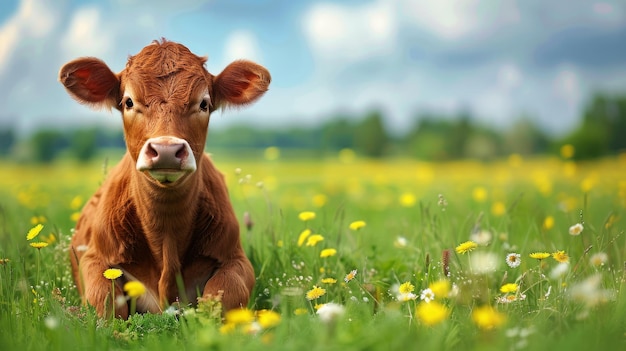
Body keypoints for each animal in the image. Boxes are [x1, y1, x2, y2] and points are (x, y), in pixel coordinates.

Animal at [56, 39, 266, 320]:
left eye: (204, 104)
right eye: (129, 102)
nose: (166, 149)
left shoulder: (236, 259)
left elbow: (221, 294)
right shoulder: (95, 259)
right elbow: (105, 303)